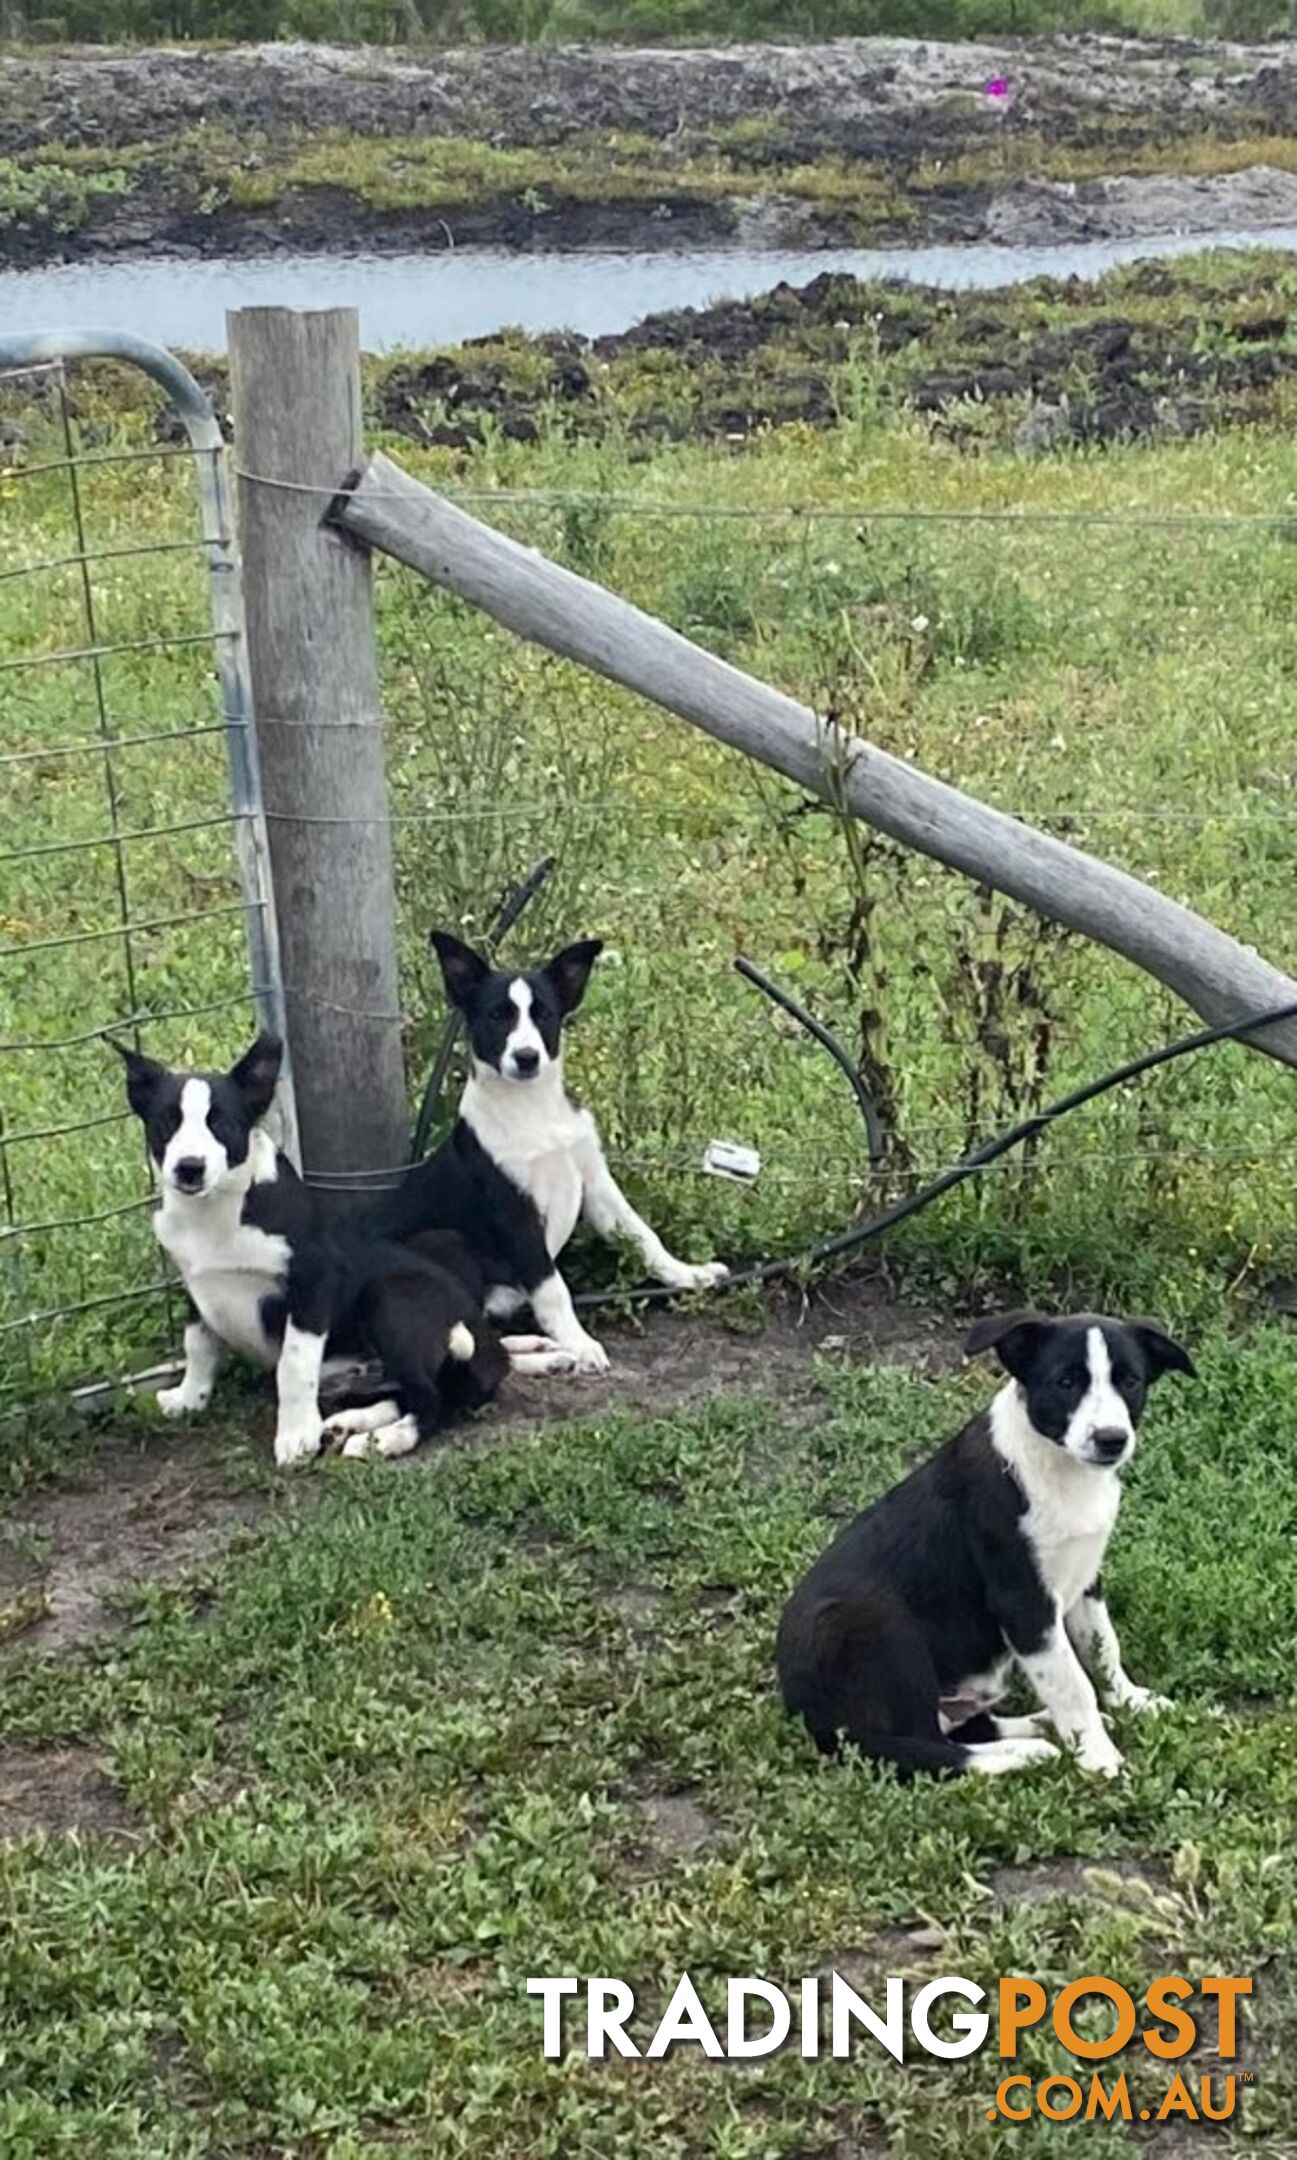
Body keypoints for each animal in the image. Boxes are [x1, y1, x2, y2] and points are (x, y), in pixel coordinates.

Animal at [115, 1032, 505, 1468]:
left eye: (222, 1124)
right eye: (167, 1122)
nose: (189, 1168)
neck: (218, 1210)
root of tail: (488, 1340)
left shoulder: (315, 1281)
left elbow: (294, 1364)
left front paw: (296, 1437)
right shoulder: (194, 1285)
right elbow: (197, 1344)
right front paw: (189, 1398)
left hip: (388, 1296)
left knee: (433, 1400)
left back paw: (385, 1440)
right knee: (409, 1391)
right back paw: (350, 1424)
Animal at [365, 924, 730, 1365]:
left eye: (545, 1016)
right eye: (496, 1016)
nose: (526, 1057)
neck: (533, 1108)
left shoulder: (596, 1183)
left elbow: (643, 1235)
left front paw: (689, 1274)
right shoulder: (515, 1212)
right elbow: (552, 1287)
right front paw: (580, 1341)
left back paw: (541, 1349)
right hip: (442, 1242)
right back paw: (555, 1356)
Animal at [773, 1304, 1193, 1779]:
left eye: (1130, 1381)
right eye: (1066, 1382)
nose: (1111, 1439)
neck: (1059, 1469)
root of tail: (808, 1717)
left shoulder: (1085, 1576)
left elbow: (1102, 1649)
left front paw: (1131, 1701)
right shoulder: (1023, 1602)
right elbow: (1072, 1683)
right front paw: (1098, 1755)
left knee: (963, 1728)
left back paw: (1040, 1727)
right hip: (873, 1624)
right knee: (918, 1748)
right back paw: (1030, 1753)